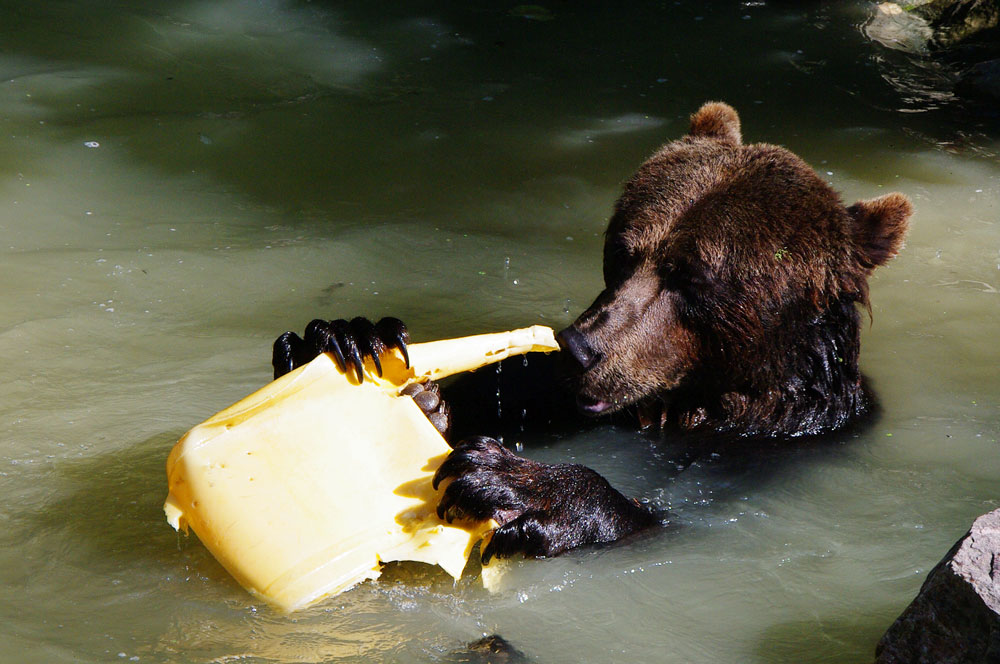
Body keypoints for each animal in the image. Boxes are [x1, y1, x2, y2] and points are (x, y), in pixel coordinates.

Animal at [270, 102, 912, 560]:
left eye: (691, 278)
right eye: (624, 250)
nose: (580, 348)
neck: (692, 403)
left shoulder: (775, 444)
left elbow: (681, 513)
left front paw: (516, 484)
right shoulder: (561, 392)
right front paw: (349, 341)